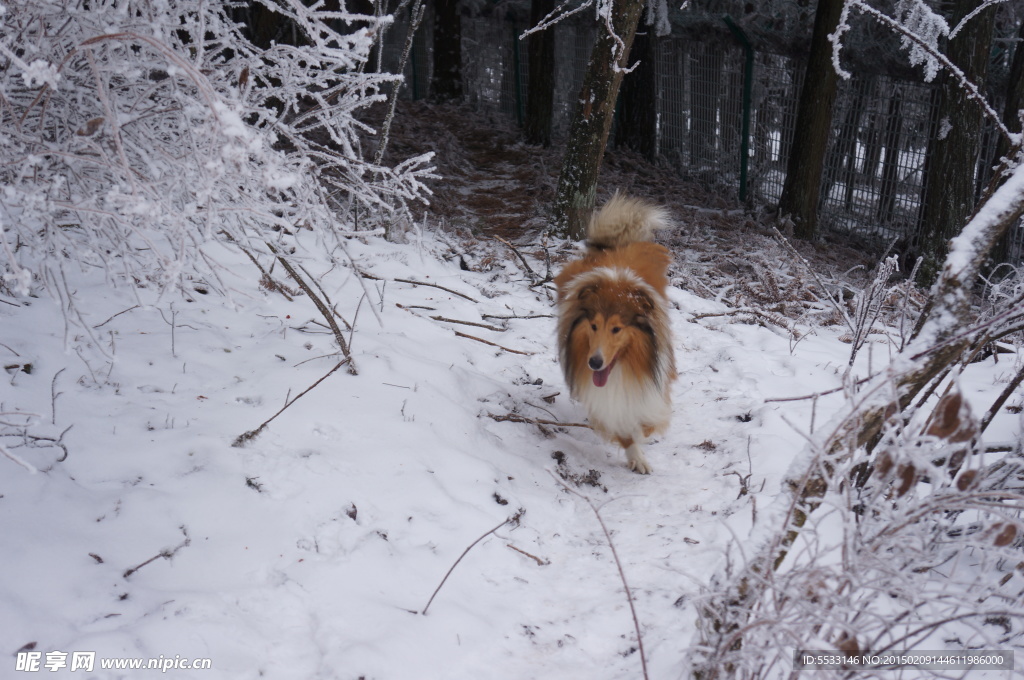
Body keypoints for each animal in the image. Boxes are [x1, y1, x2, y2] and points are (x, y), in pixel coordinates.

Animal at [557, 193, 675, 475]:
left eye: (617, 329)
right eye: (593, 326)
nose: (594, 362)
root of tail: (611, 248)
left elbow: (647, 418)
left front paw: (644, 437)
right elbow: (622, 426)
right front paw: (636, 455)